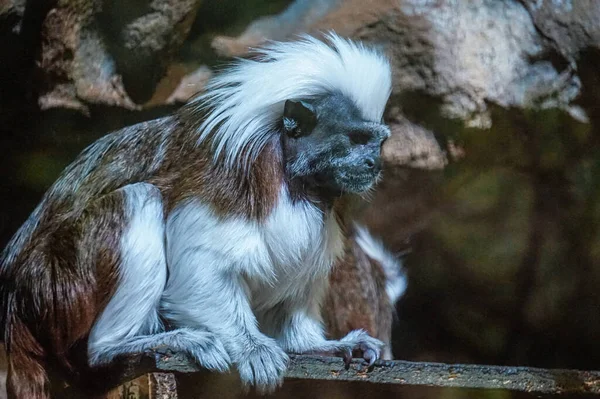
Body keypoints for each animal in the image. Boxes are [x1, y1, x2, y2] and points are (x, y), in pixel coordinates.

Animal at [0, 34, 394, 399]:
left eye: (377, 143)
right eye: (356, 139)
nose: (374, 163)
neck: (292, 177)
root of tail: (15, 301)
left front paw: (320, 344)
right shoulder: (227, 184)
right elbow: (199, 269)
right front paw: (250, 345)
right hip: (56, 290)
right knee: (138, 198)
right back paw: (129, 344)